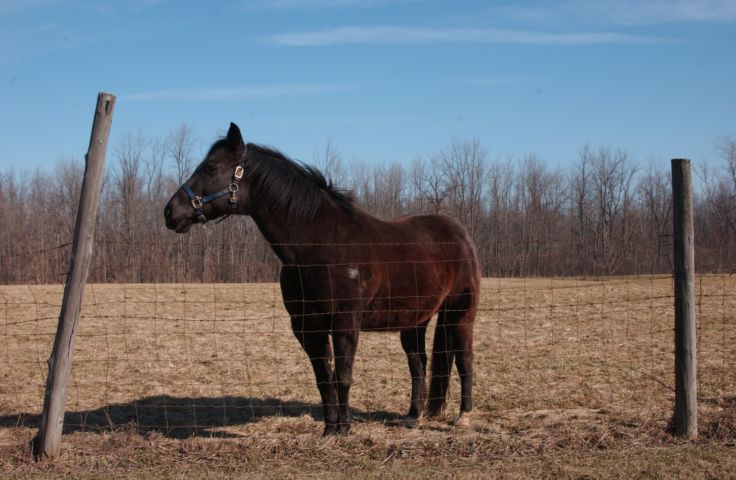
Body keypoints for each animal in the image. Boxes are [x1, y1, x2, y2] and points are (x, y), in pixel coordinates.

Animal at [164, 124, 480, 436]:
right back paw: (414, 416)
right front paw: (330, 430)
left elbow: (343, 376)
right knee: (418, 362)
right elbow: (323, 379)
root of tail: (461, 234)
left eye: (211, 167)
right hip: (415, 320)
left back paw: (464, 416)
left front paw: (345, 429)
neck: (321, 244)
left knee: (464, 359)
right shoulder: (306, 326)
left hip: (459, 313)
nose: (170, 212)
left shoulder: (345, 323)